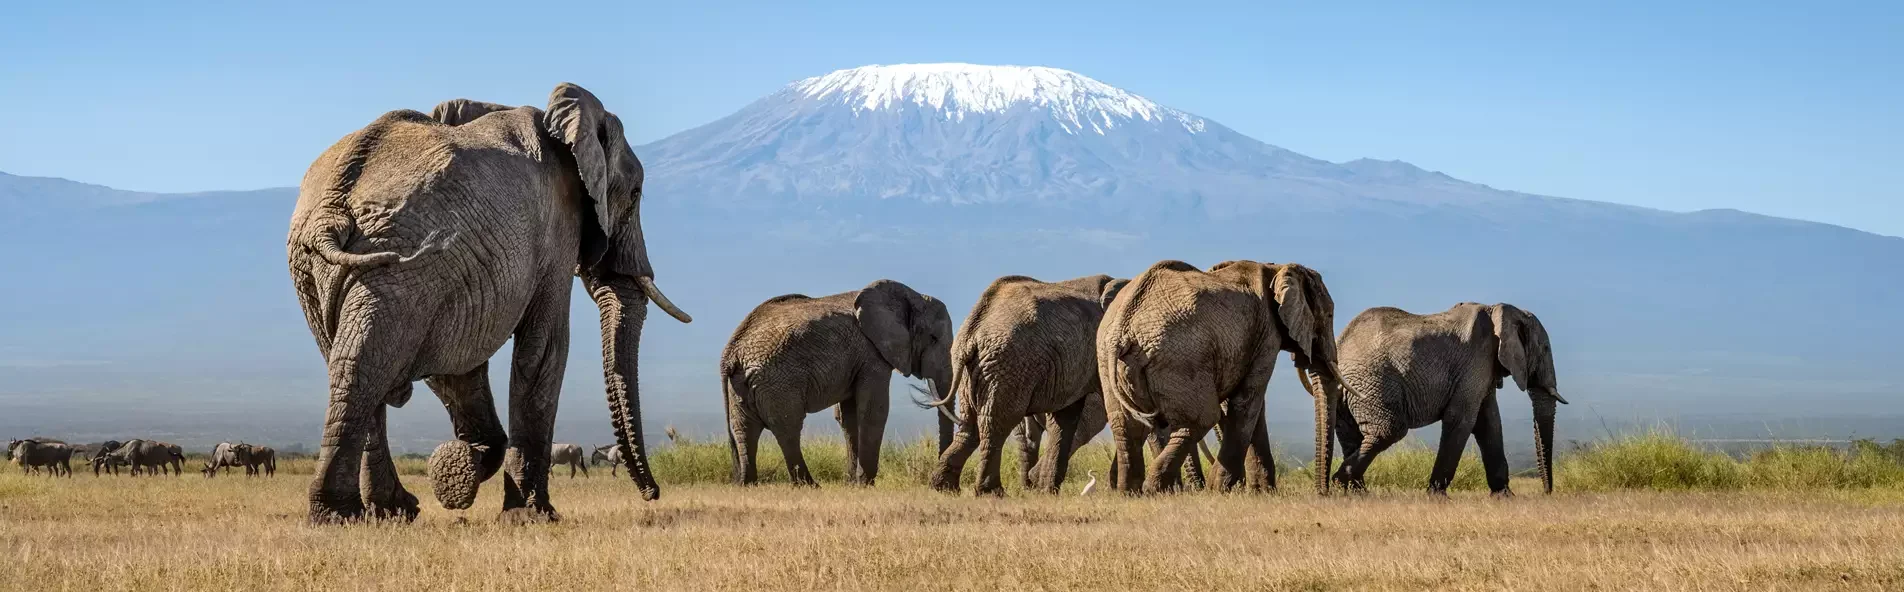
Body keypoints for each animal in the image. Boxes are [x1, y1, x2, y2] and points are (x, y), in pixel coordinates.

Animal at [285, 83, 691, 523]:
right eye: (635, 194)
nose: (653, 493)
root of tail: (332, 207)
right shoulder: (556, 228)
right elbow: (545, 347)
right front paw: (531, 514)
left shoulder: (458, 271)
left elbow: (456, 367)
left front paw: (459, 470)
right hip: (393, 262)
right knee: (365, 364)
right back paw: (344, 515)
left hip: (331, 270)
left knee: (352, 362)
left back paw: (388, 511)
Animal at [721, 280, 954, 487]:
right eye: (933, 338)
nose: (936, 482)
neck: (910, 295)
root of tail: (731, 353)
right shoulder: (872, 354)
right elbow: (873, 411)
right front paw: (865, 483)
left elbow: (849, 417)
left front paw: (852, 483)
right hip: (778, 381)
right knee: (788, 428)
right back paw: (810, 485)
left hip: (741, 385)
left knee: (745, 430)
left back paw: (747, 483)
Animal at [917, 274, 1126, 495]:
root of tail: (971, 330)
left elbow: (1065, 418)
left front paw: (1047, 491)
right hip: (1009, 365)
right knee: (997, 422)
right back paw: (992, 492)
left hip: (976, 370)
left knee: (971, 425)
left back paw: (943, 488)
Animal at [1096, 260, 1356, 495]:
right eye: (1329, 315)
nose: (1323, 492)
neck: (1277, 267)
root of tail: (1122, 327)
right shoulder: (1267, 335)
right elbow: (1248, 401)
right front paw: (1223, 489)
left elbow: (1252, 406)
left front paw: (1261, 492)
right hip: (1180, 357)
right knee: (1200, 419)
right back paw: (1155, 489)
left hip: (1109, 362)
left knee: (1126, 426)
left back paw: (1130, 492)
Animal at [1331, 303, 1568, 495]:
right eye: (1545, 348)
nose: (1546, 493)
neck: (1501, 309)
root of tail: (1340, 345)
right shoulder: (1477, 361)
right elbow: (1462, 419)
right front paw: (1437, 496)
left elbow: (1489, 423)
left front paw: (1505, 497)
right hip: (1371, 382)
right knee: (1388, 430)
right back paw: (1338, 483)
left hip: (1350, 391)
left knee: (1352, 436)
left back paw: (1356, 492)